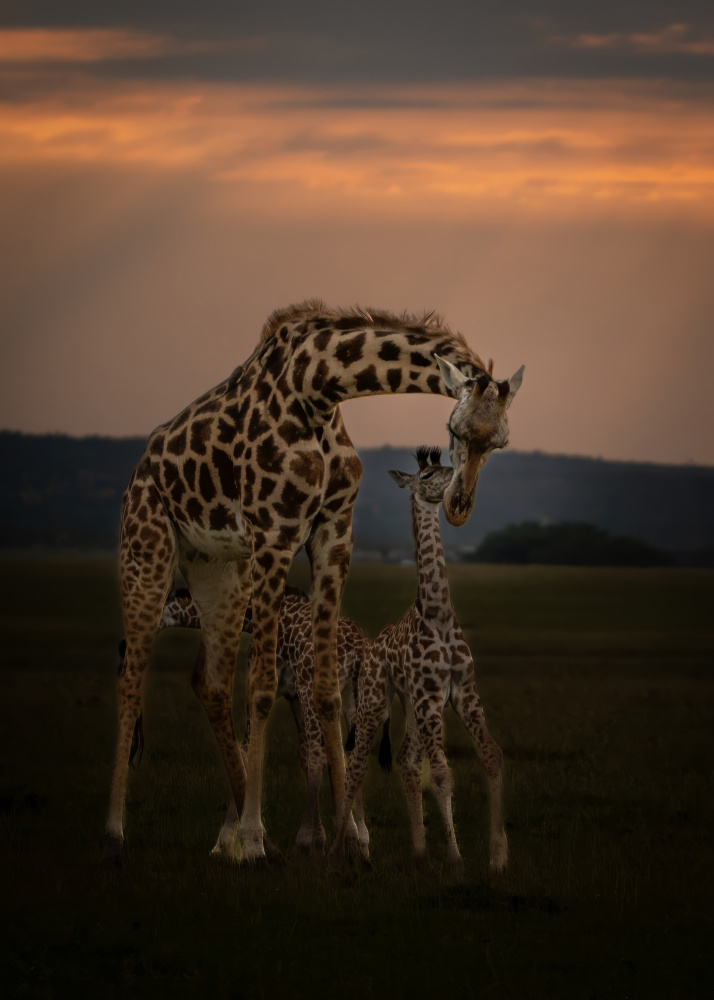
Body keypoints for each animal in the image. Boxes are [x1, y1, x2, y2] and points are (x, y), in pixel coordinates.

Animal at [339, 447, 508, 878]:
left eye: (447, 464)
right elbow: (444, 774)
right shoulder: (433, 698)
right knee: (356, 764)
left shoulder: (462, 693)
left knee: (407, 761)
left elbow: (491, 755)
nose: (460, 481)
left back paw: (418, 854)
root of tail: (372, 646)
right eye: (430, 474)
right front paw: (455, 858)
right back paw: (347, 852)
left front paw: (498, 856)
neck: (439, 614)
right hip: (375, 700)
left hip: (410, 704)